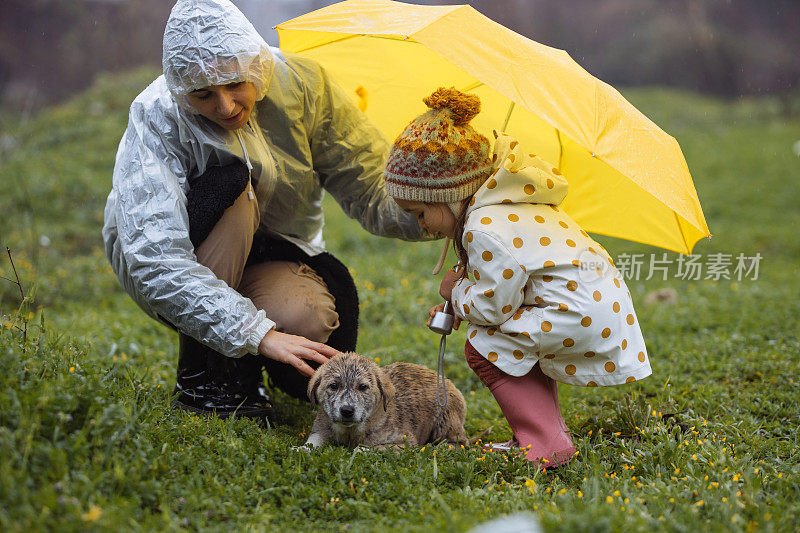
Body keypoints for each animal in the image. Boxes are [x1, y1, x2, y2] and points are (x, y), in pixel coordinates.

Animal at [306, 354, 468, 448]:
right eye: (333, 386)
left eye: (362, 387)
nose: (347, 411)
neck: (350, 431)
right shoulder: (320, 430)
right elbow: (311, 443)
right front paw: (302, 450)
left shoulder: (403, 440)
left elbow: (370, 448)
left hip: (446, 421)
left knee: (459, 443)